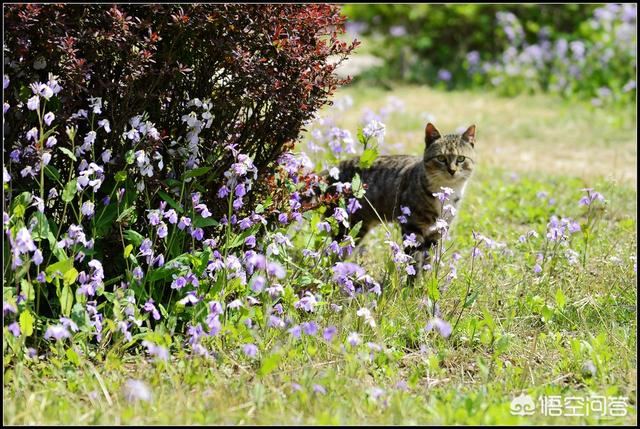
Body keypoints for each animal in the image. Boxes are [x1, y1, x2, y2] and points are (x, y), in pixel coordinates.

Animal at [324, 121, 476, 268]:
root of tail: (329, 172)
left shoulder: (436, 232)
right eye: (441, 158)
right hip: (347, 228)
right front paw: (413, 277)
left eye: (461, 159)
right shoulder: (412, 227)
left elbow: (426, 262)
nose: (452, 170)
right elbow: (415, 262)